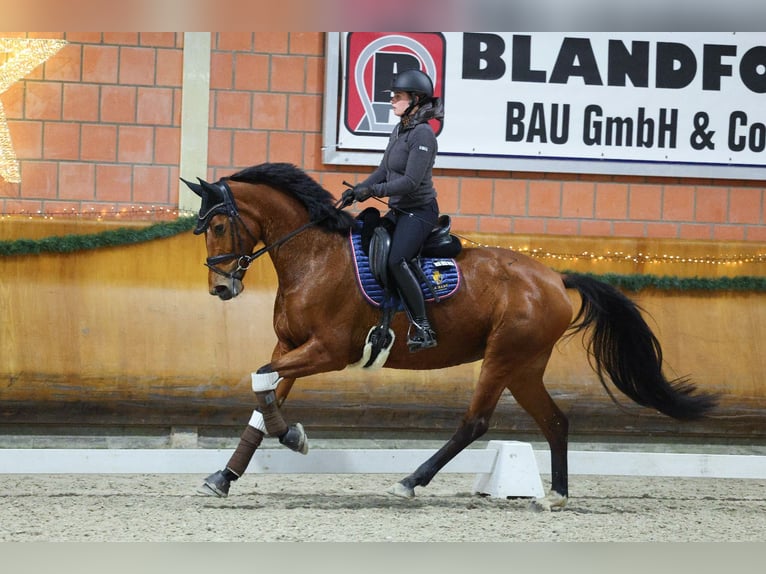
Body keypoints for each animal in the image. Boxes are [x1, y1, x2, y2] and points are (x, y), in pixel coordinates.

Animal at [184, 163, 720, 512]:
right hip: (524, 366)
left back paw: (410, 482)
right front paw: (225, 476)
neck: (314, 256)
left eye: (218, 225)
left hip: (502, 357)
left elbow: (261, 381)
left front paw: (293, 437)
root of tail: (554, 277)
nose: (221, 288)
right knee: (556, 421)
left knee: (475, 423)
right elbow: (263, 398)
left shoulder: (328, 352)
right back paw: (557, 495)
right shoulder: (291, 347)